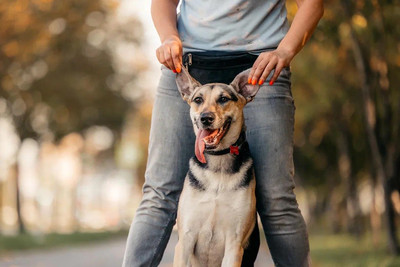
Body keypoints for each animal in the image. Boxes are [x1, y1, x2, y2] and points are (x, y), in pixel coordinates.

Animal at [173, 67, 260, 267]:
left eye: (223, 99)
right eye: (198, 100)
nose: (206, 118)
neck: (218, 162)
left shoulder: (234, 244)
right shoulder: (185, 240)